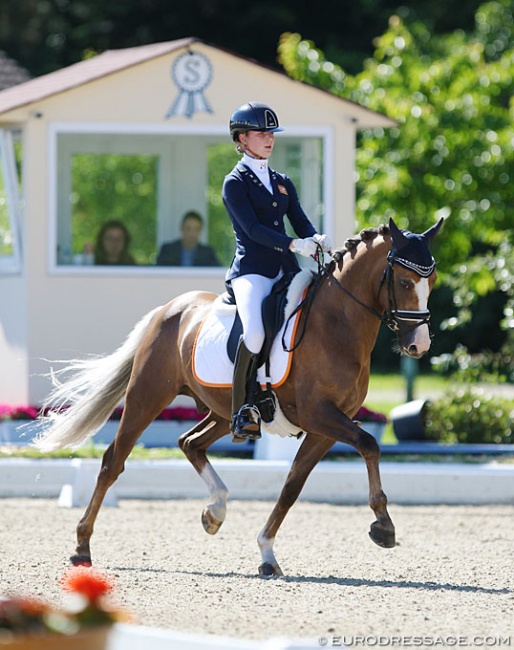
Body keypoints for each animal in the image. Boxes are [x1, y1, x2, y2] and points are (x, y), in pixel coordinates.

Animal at [36, 216, 440, 572]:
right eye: (405, 281)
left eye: (432, 281)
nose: (419, 345)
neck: (336, 324)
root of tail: (169, 309)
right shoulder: (320, 414)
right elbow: (369, 444)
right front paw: (383, 525)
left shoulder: (325, 428)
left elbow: (292, 485)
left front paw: (267, 553)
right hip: (146, 397)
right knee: (112, 462)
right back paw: (82, 546)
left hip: (222, 410)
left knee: (190, 443)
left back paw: (214, 512)